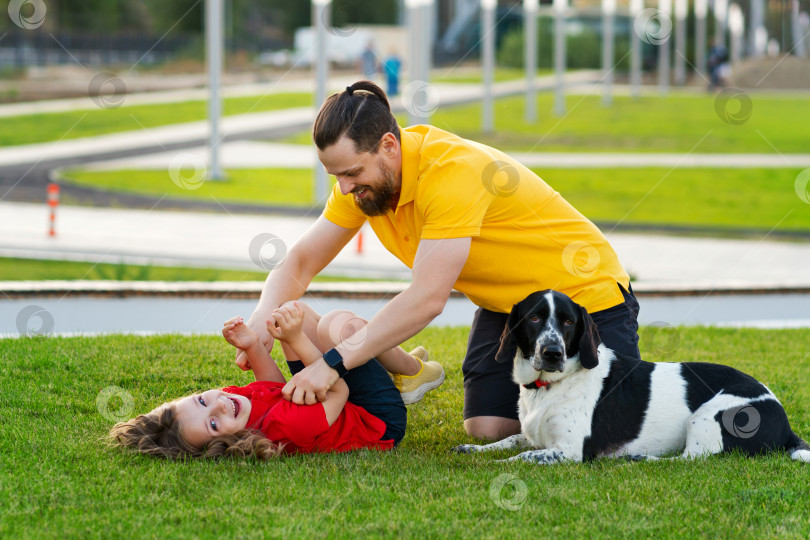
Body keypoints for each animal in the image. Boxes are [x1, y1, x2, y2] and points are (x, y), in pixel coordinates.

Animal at [452, 292, 804, 464]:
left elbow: (520, 457)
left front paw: (490, 464)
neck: (547, 387)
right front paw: (475, 451)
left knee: (694, 459)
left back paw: (641, 457)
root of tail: (785, 423)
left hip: (706, 418)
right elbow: (510, 441)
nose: (553, 353)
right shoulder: (535, 435)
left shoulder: (569, 450)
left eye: (568, 322)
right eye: (534, 318)